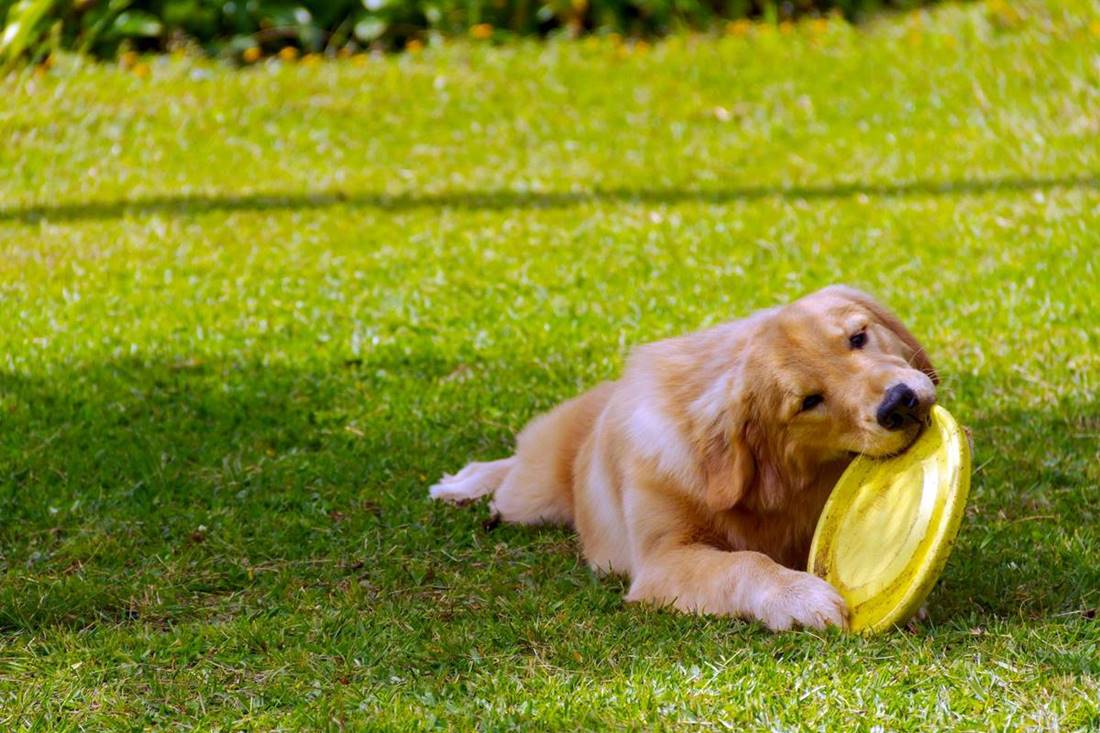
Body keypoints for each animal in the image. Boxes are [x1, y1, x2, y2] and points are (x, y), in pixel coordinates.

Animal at [429, 286, 937, 629]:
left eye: (858, 337)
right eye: (809, 401)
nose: (899, 403)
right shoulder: (663, 561)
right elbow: (744, 562)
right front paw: (797, 596)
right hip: (531, 498)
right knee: (512, 471)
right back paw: (462, 483)